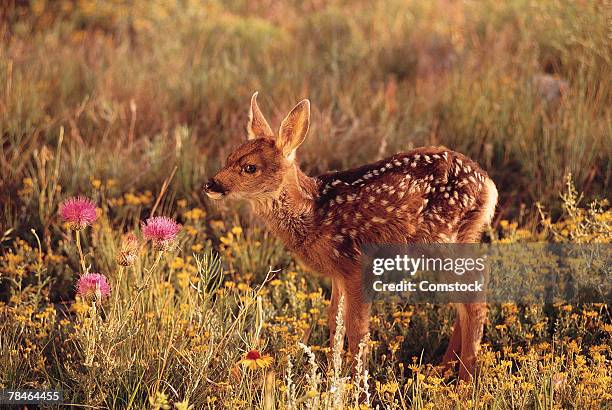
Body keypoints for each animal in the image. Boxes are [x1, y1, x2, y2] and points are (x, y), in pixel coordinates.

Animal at [204, 93, 498, 382]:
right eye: (229, 157)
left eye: (250, 168)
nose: (211, 184)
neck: (313, 213)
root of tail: (489, 186)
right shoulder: (338, 272)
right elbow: (334, 319)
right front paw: (332, 375)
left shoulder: (356, 265)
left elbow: (357, 328)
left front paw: (357, 383)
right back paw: (443, 369)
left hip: (443, 238)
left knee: (474, 296)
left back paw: (464, 381)